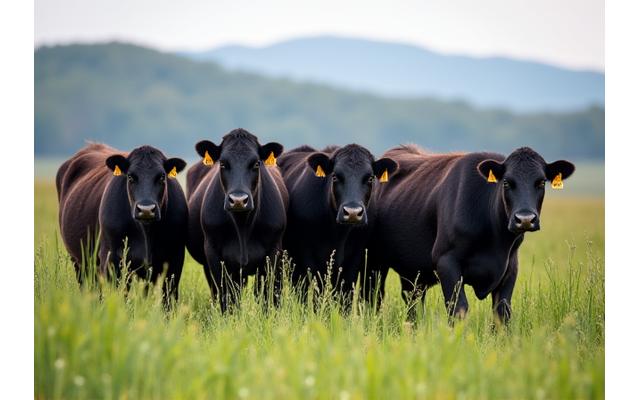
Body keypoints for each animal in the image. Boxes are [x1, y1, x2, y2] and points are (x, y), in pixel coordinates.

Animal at [56, 143, 188, 304]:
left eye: (162, 176)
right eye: (130, 176)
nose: (146, 209)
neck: (146, 233)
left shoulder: (174, 260)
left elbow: (168, 300)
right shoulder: (111, 260)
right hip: (80, 261)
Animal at [186, 129, 288, 312]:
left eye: (256, 164)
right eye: (222, 164)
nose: (239, 200)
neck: (242, 226)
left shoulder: (273, 253)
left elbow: (267, 296)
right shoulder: (214, 254)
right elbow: (226, 296)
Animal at [277, 144, 398, 303]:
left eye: (370, 178)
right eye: (335, 176)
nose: (352, 212)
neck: (338, 235)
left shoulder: (354, 259)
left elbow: (345, 294)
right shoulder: (308, 258)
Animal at [365, 145, 575, 324]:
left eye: (541, 182)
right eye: (507, 182)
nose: (524, 219)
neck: (495, 241)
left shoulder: (510, 267)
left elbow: (502, 312)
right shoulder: (446, 262)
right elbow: (458, 309)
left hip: (412, 273)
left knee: (413, 301)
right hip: (374, 263)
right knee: (374, 297)